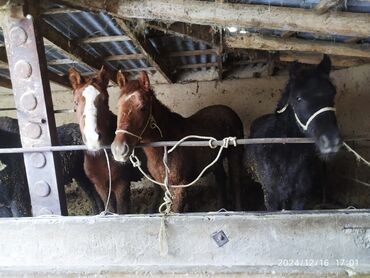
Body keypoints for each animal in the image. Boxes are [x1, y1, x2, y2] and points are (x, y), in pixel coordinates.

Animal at [68, 66, 142, 214]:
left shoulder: (122, 184)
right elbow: (110, 209)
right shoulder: (100, 186)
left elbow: (122, 211)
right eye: (76, 102)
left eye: (105, 100)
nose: (93, 139)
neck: (101, 156)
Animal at [110, 70, 246, 212]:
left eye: (142, 107)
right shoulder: (166, 186)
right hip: (215, 160)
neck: (166, 147)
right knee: (221, 179)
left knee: (236, 181)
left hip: (235, 154)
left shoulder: (180, 186)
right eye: (118, 106)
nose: (119, 150)